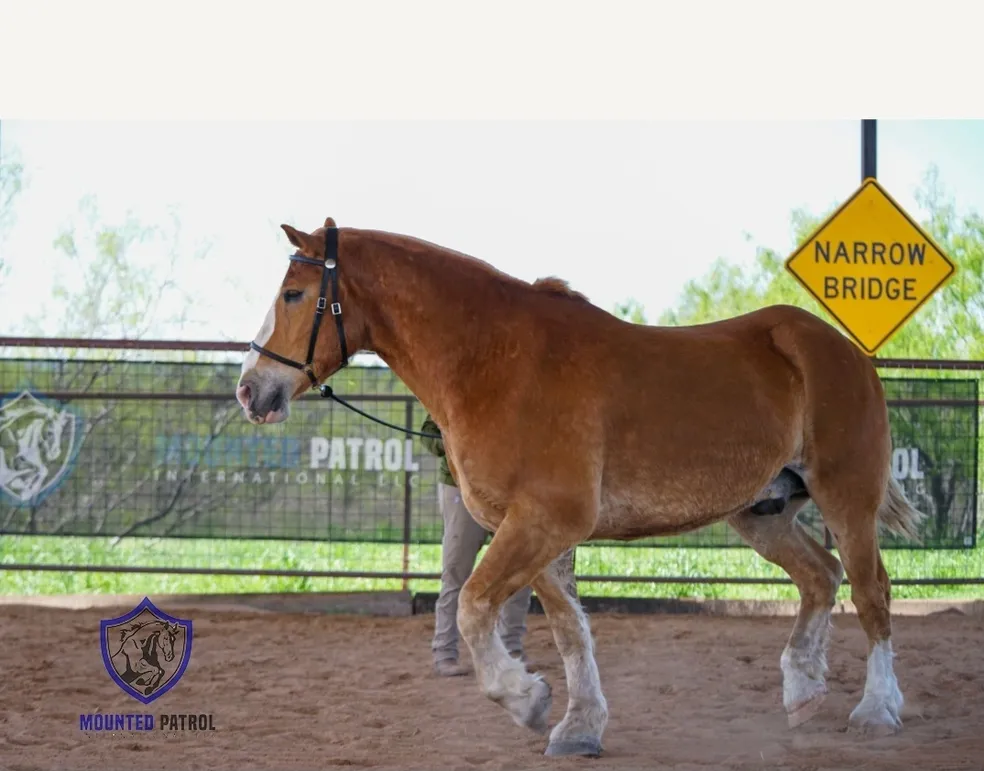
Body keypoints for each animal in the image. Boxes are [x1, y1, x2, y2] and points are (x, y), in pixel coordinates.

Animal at [236, 217, 924, 758]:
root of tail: (845, 352)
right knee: (820, 577)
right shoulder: (531, 529)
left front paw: (526, 698)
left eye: (294, 294)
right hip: (762, 512)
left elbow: (473, 607)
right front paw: (577, 726)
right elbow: (568, 628)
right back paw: (803, 690)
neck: (493, 362)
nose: (250, 389)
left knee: (871, 594)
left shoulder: (545, 521)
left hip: (846, 499)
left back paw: (876, 711)